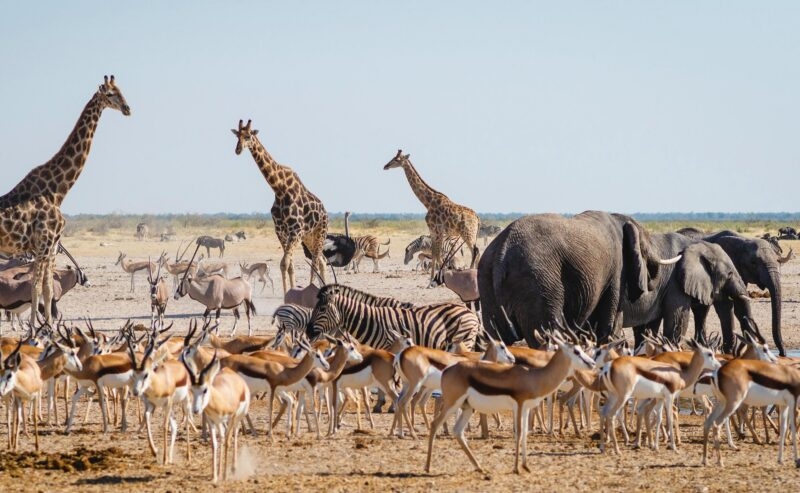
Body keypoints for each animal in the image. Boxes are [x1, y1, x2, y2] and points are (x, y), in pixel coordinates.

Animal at [0, 75, 130, 324]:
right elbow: (36, 289)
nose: (128, 109)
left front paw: (48, 328)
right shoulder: (44, 244)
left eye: (123, 91)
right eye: (110, 94)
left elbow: (47, 289)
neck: (58, 191)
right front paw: (36, 330)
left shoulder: (51, 247)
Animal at [231, 119, 328, 294]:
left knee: (316, 262)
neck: (280, 189)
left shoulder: (295, 232)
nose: (238, 149)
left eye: (248, 136)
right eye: (237, 136)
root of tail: (325, 212)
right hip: (309, 237)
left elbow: (285, 263)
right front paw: (288, 293)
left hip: (320, 232)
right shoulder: (281, 232)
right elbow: (287, 265)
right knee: (322, 260)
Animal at [383, 149, 480, 284]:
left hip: (467, 233)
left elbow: (438, 255)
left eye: (397, 159)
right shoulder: (434, 231)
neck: (428, 203)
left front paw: (439, 279)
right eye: (393, 157)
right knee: (477, 251)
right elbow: (434, 254)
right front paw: (430, 281)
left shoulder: (437, 230)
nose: (385, 166)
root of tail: (477, 218)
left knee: (474, 251)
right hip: (472, 234)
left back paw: (470, 274)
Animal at [478, 211, 681, 347]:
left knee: (498, 338)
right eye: (645, 248)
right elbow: (608, 324)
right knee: (546, 334)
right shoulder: (617, 269)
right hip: (537, 282)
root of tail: (502, 251)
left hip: (486, 279)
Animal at [621, 233, 754, 353]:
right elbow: (677, 319)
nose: (733, 351)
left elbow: (722, 308)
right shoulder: (674, 281)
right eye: (730, 274)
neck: (696, 244)